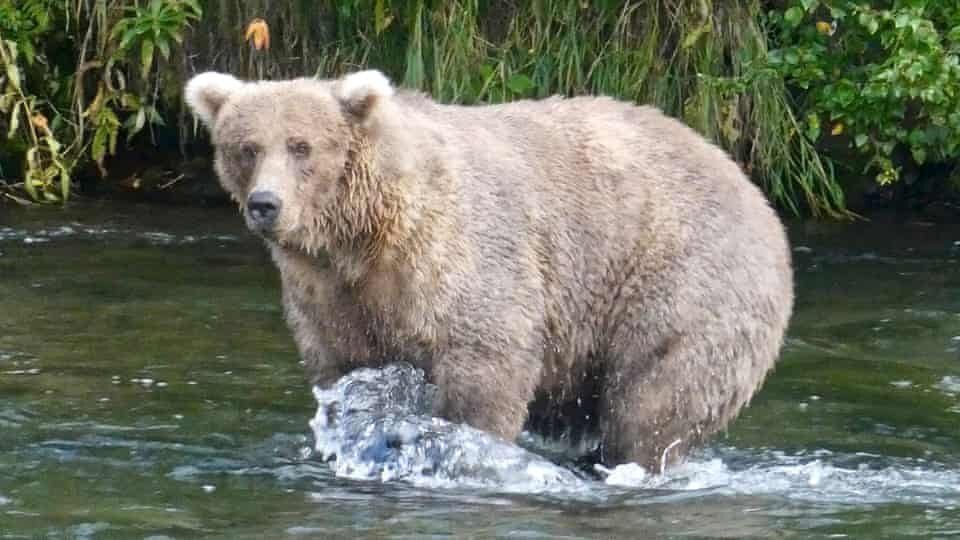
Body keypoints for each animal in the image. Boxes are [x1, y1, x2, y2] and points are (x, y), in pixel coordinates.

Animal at [184, 68, 792, 472]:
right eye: (246, 147)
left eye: (301, 146)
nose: (266, 203)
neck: (365, 238)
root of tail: (758, 196)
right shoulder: (333, 297)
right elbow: (348, 376)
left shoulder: (459, 257)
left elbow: (486, 362)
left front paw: (460, 443)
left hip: (680, 281)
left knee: (653, 405)